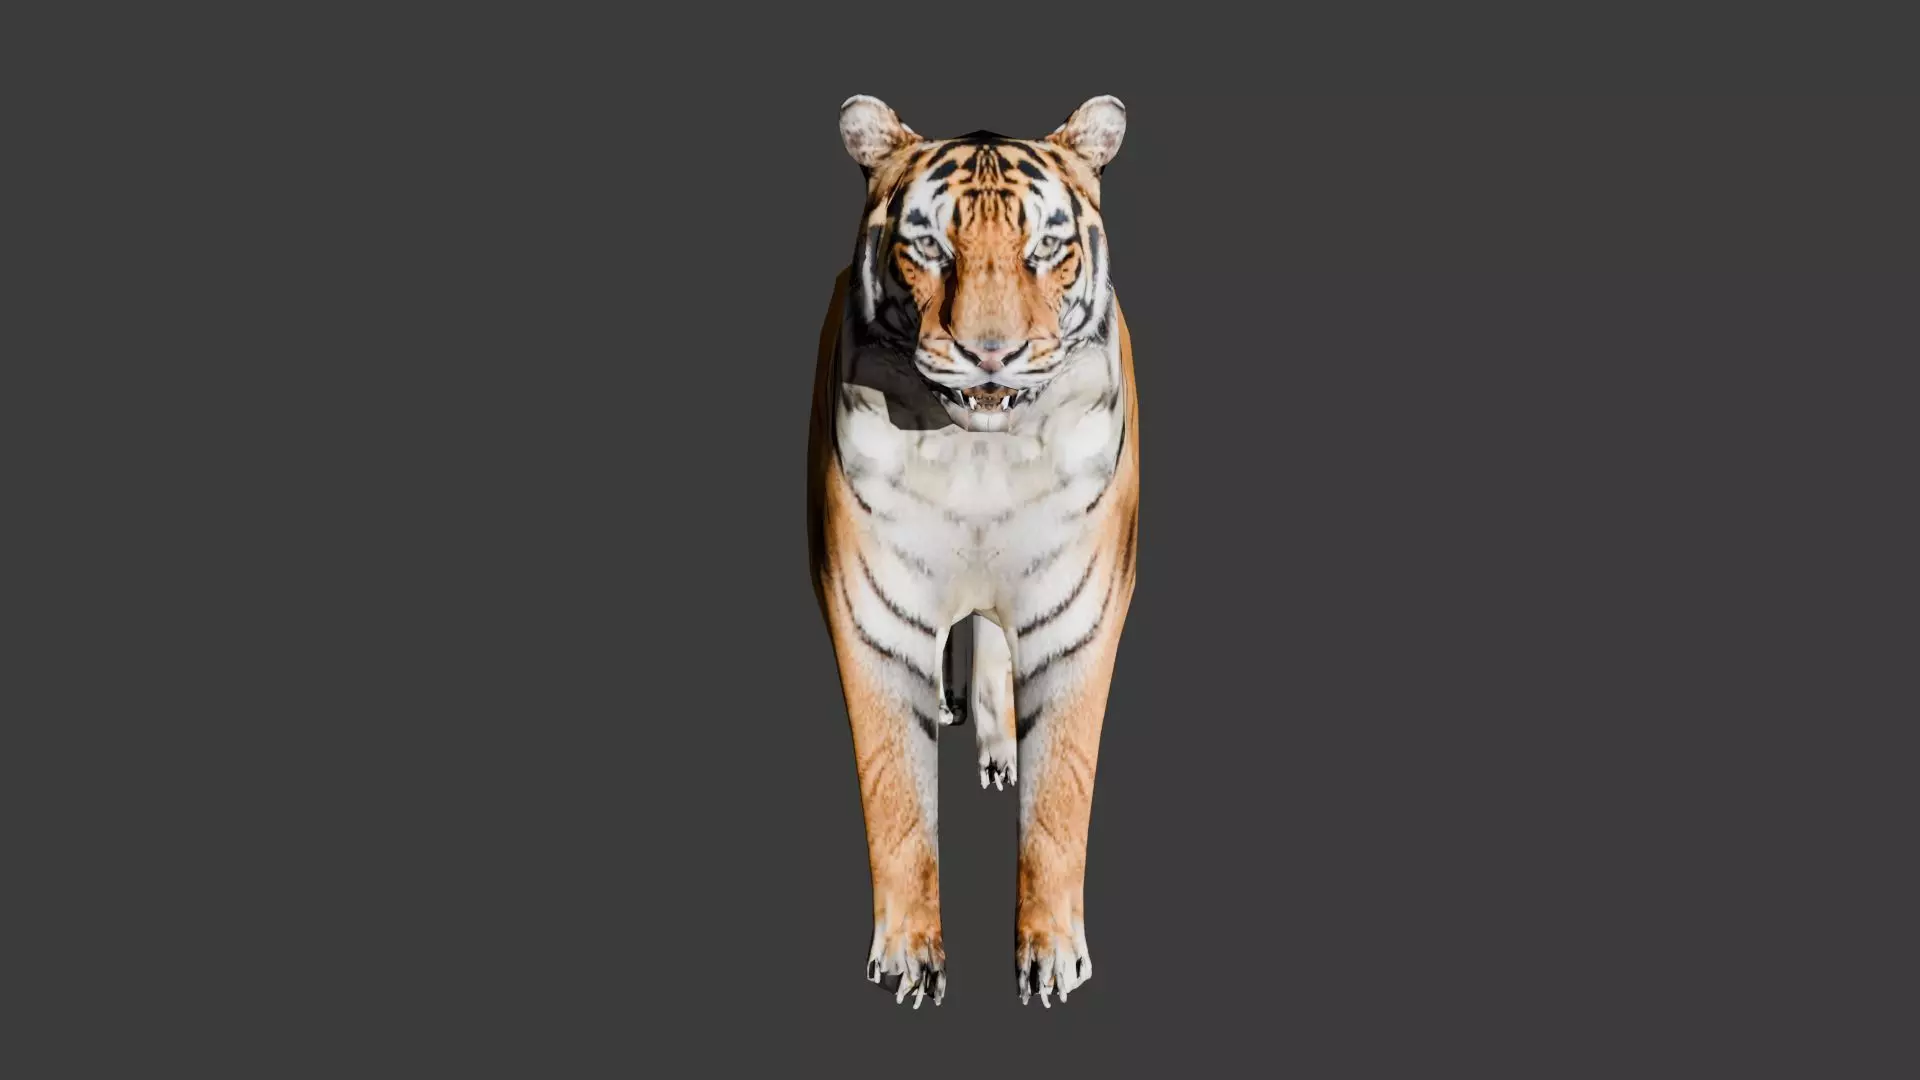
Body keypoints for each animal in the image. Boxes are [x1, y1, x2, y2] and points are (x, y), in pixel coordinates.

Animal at [806, 94, 1139, 1009]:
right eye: (929, 246)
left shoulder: (1078, 613)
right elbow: (896, 792)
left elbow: (1060, 795)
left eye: (1047, 247)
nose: (991, 353)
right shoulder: (872, 612)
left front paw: (1052, 958)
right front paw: (909, 960)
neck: (979, 460)